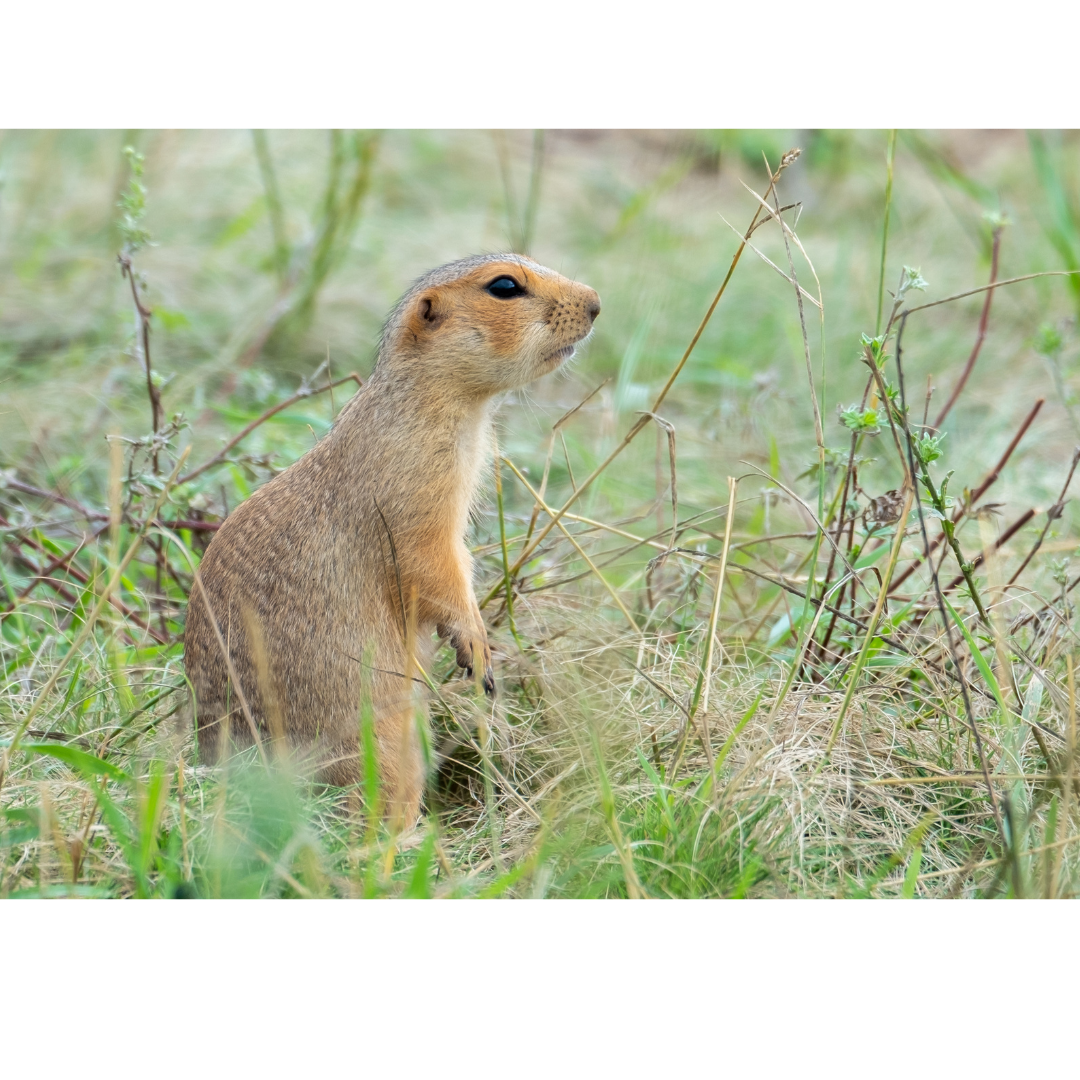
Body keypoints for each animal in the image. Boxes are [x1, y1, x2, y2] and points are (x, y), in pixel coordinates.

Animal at [184, 254, 601, 822]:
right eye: (504, 286)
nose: (597, 303)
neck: (430, 401)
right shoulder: (414, 495)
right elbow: (429, 565)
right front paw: (476, 645)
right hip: (384, 741)